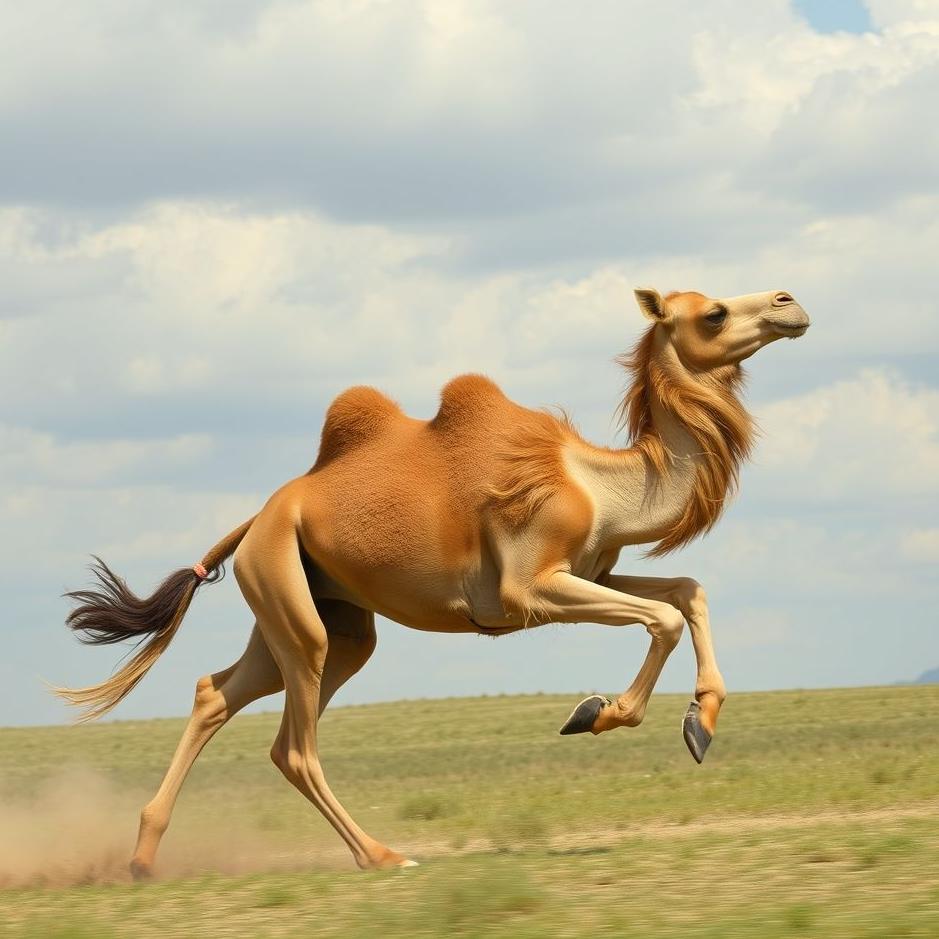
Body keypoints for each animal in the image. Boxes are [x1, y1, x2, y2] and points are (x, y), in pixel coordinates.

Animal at [57, 286, 809, 874]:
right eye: (712, 312)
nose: (788, 304)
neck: (604, 487)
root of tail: (255, 521)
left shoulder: (593, 567)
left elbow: (686, 590)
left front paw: (699, 724)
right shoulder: (528, 588)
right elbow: (664, 617)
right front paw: (596, 713)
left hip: (320, 618)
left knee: (219, 693)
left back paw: (143, 856)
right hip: (291, 607)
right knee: (294, 747)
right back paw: (382, 854)